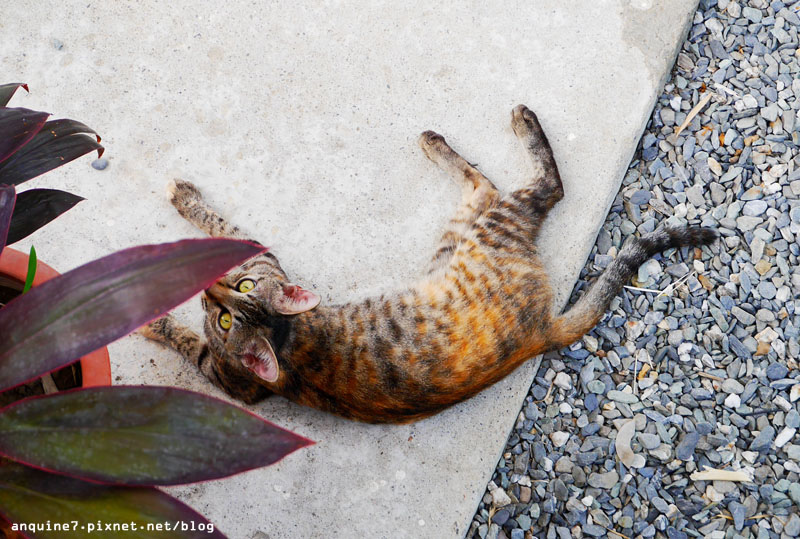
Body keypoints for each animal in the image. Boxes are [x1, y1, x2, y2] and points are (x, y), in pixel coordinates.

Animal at [139, 105, 720, 424]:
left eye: (237, 300)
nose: (210, 293)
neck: (284, 337)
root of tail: (540, 332)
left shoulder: (229, 374)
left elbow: (213, 239)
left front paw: (155, 315)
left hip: (486, 230)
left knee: (545, 188)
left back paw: (517, 123)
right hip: (458, 234)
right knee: (485, 184)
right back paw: (435, 142)